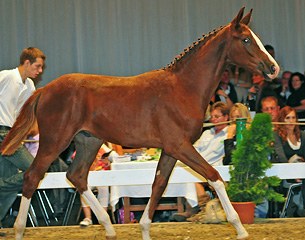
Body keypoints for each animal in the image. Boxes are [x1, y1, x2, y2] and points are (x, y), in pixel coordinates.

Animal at [1, 7, 278, 240]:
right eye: (245, 40)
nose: (273, 68)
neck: (183, 88)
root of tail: (45, 89)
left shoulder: (171, 150)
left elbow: (158, 185)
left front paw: (144, 228)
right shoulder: (180, 146)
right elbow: (214, 176)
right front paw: (240, 228)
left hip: (89, 141)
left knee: (76, 176)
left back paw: (109, 228)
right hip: (55, 141)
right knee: (33, 177)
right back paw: (18, 230)